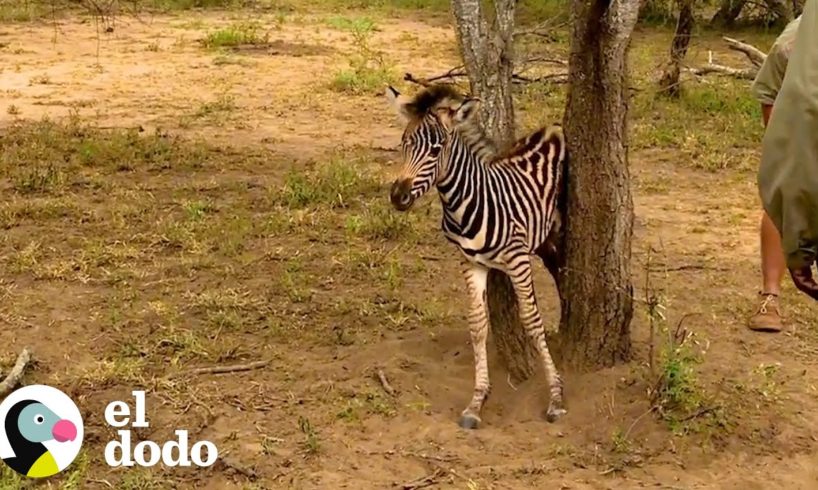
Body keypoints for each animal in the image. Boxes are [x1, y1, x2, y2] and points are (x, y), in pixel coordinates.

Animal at [384, 83, 568, 429]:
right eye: (403, 143)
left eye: (436, 149)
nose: (398, 196)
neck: (467, 203)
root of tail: (551, 128)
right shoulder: (471, 263)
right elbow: (478, 324)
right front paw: (476, 401)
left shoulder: (518, 261)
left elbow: (532, 320)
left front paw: (555, 397)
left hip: (552, 238)